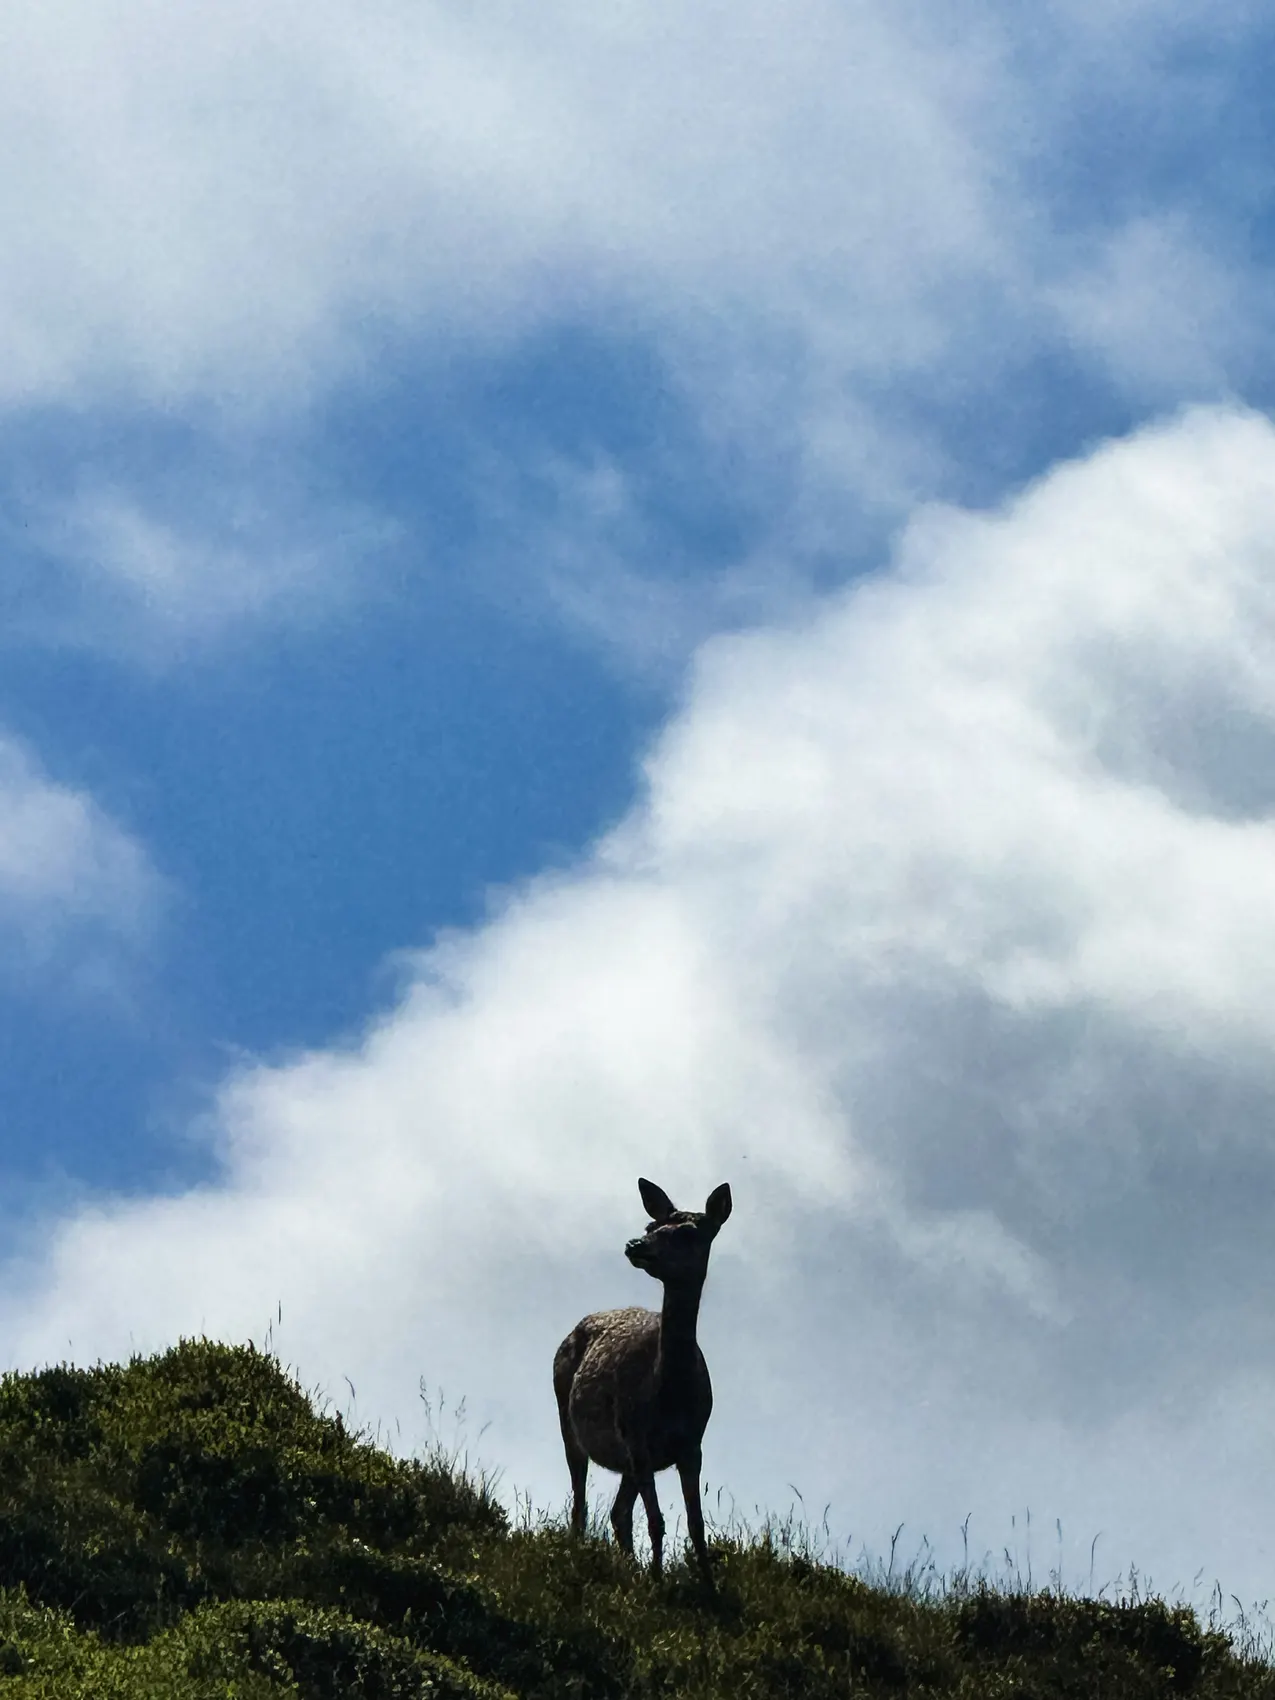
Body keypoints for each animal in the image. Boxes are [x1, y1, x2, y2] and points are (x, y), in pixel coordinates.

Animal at [553, 1177, 732, 1590]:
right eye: (652, 1226)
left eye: (688, 1232)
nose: (636, 1244)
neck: (668, 1393)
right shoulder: (637, 1437)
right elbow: (657, 1521)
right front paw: (657, 1583)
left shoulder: (692, 1445)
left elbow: (697, 1524)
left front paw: (710, 1587)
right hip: (569, 1420)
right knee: (581, 1499)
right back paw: (581, 1554)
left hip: (627, 1459)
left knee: (618, 1512)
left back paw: (630, 1567)